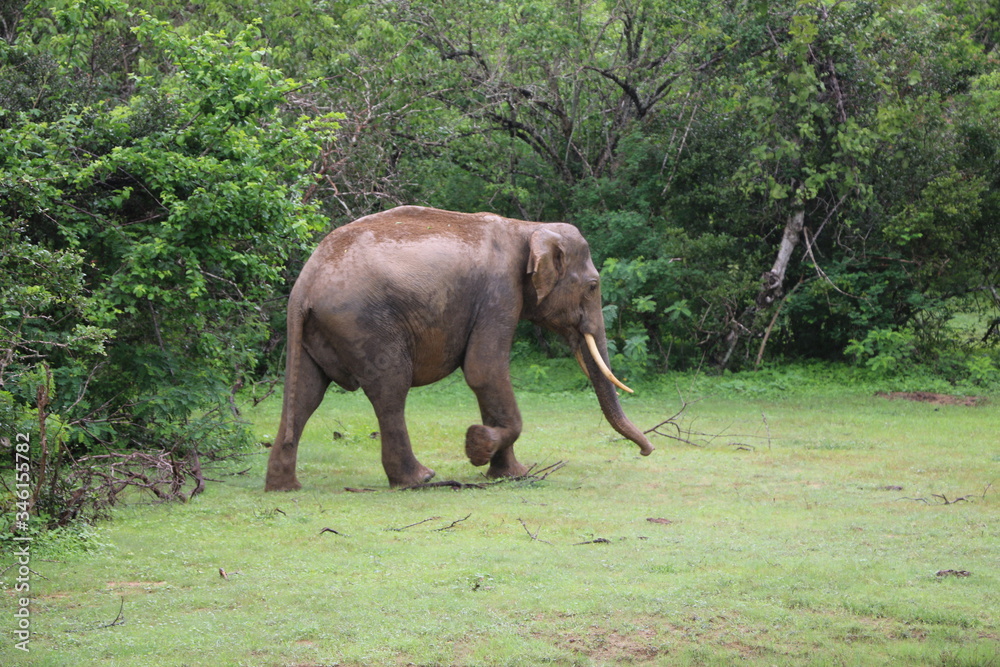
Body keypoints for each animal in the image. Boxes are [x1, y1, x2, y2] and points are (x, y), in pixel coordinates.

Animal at [264, 205, 654, 491]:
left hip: (319, 330)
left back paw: (285, 487)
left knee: (306, 394)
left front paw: (509, 473)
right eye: (593, 286)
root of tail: (304, 286)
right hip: (364, 323)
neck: (527, 228)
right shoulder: (500, 292)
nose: (647, 451)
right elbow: (485, 370)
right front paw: (478, 446)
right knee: (390, 389)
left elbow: (485, 377)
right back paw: (419, 479)